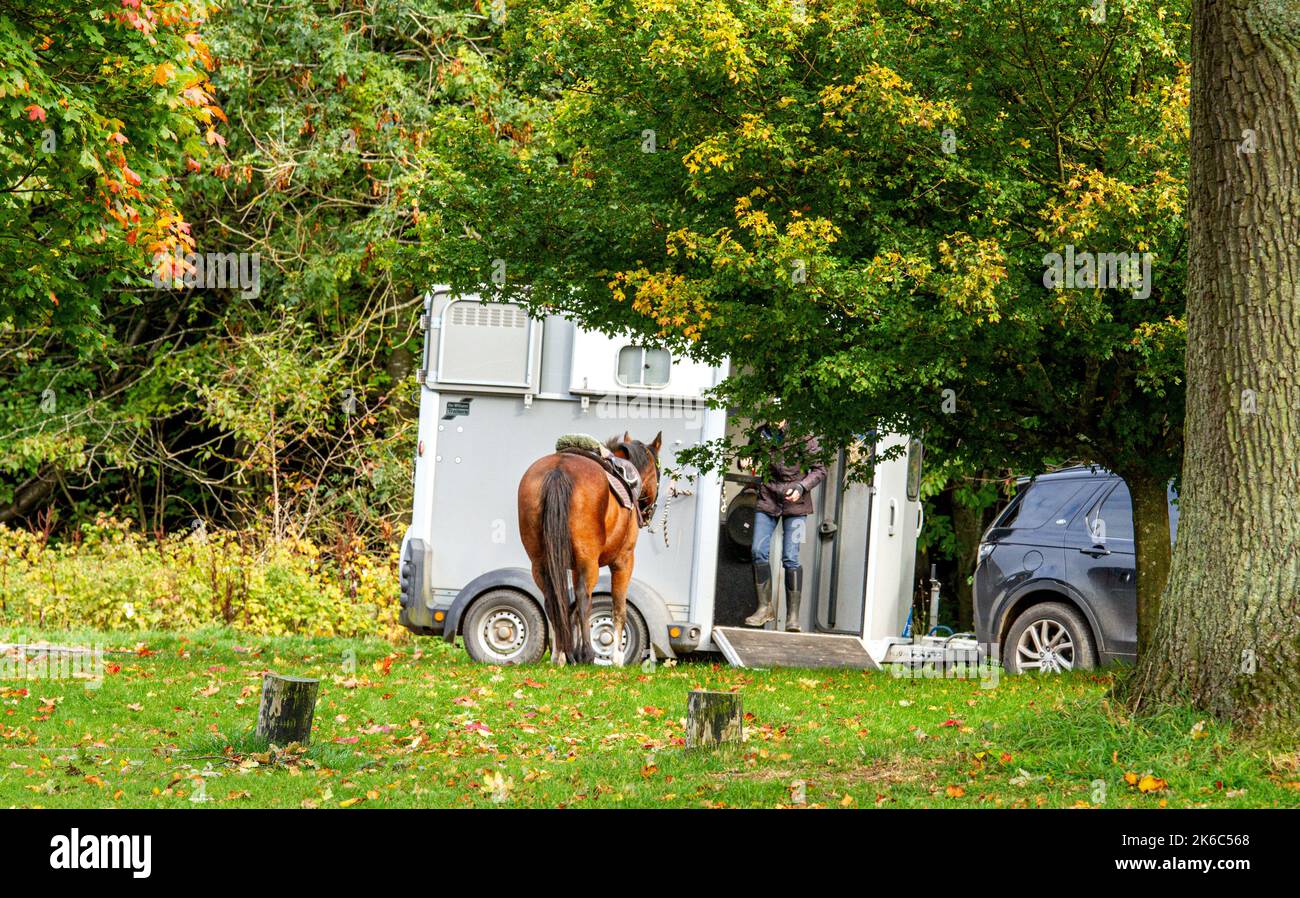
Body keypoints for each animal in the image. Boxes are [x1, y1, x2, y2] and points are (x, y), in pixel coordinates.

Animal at [517, 431, 660, 662]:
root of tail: (559, 469)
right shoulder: (624, 561)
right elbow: (618, 608)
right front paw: (617, 658)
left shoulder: (574, 567)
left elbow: (571, 607)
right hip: (589, 561)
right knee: (585, 598)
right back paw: (586, 654)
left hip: (540, 562)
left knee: (553, 600)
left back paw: (559, 654)